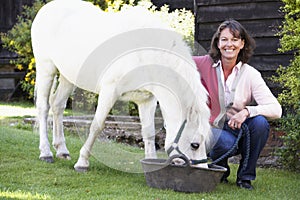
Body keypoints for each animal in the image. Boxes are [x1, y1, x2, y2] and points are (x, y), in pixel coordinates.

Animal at [31, 0, 211, 172]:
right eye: (195, 145)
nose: (203, 170)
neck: (143, 53)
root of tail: (48, 7)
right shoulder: (109, 92)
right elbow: (96, 126)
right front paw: (82, 163)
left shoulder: (147, 100)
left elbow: (149, 132)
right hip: (46, 69)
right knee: (43, 108)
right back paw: (46, 152)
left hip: (68, 78)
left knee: (57, 105)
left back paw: (62, 150)